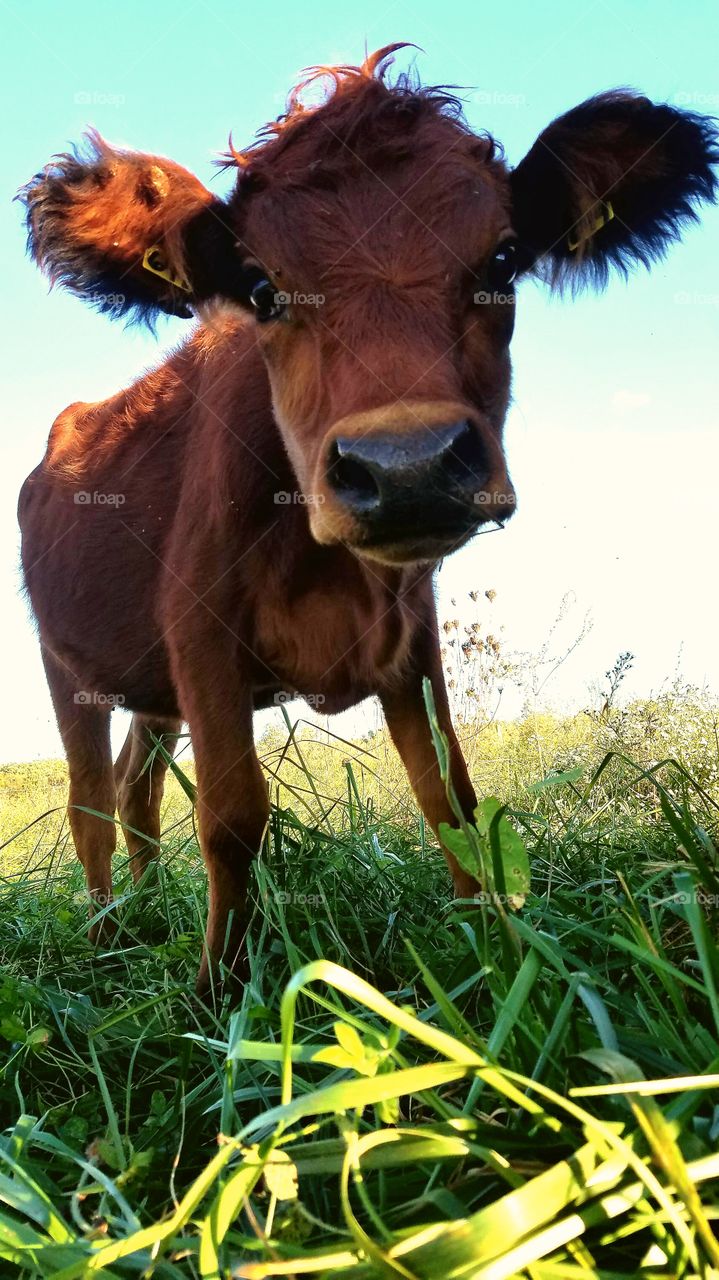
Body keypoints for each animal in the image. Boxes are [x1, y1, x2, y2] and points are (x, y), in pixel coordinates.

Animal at [16, 47, 711, 988]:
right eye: (262, 289)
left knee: (136, 786)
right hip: (66, 665)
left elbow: (449, 794)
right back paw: (106, 938)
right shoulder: (199, 636)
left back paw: (146, 912)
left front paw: (492, 951)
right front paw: (217, 991)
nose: (406, 465)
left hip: (149, 688)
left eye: (502, 261)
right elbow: (232, 814)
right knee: (89, 800)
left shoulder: (408, 637)